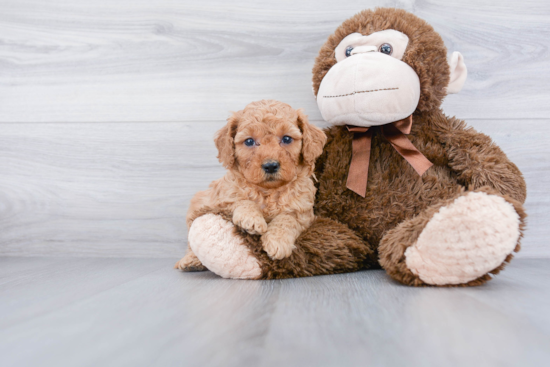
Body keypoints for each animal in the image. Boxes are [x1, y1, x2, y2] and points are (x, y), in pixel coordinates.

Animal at [176, 99, 328, 272]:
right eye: (249, 141)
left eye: (287, 139)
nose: (270, 166)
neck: (268, 191)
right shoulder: (222, 199)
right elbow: (241, 200)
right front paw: (251, 219)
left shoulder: (304, 213)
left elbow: (287, 218)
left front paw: (277, 241)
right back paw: (191, 260)